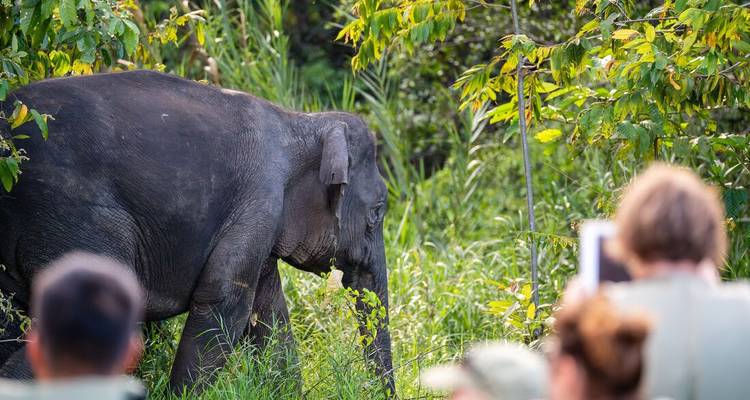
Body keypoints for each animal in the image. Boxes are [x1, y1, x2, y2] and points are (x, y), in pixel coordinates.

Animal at [0, 70, 393, 394]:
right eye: (376, 214)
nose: (381, 390)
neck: (300, 122)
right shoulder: (258, 199)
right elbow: (225, 303)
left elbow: (269, 311)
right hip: (72, 215)